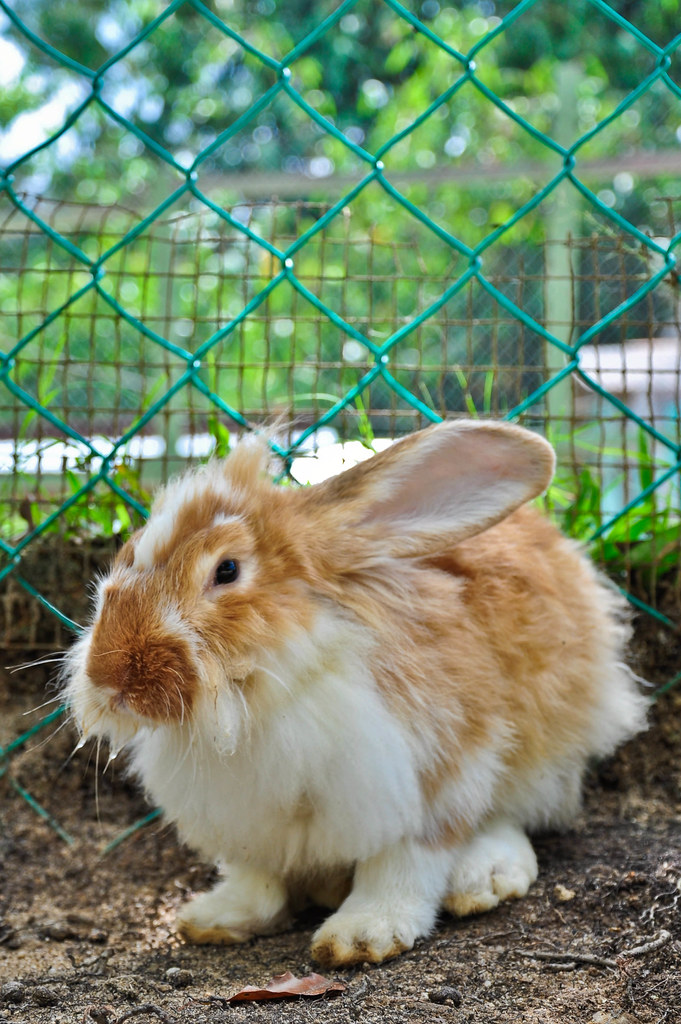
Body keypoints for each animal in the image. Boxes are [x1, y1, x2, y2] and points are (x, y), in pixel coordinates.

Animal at [63, 420, 648, 966]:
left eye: (226, 570)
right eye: (126, 553)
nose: (110, 676)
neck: (264, 690)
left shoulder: (428, 783)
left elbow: (402, 867)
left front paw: (363, 934)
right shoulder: (249, 823)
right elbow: (258, 880)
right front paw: (218, 918)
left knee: (516, 814)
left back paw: (484, 877)